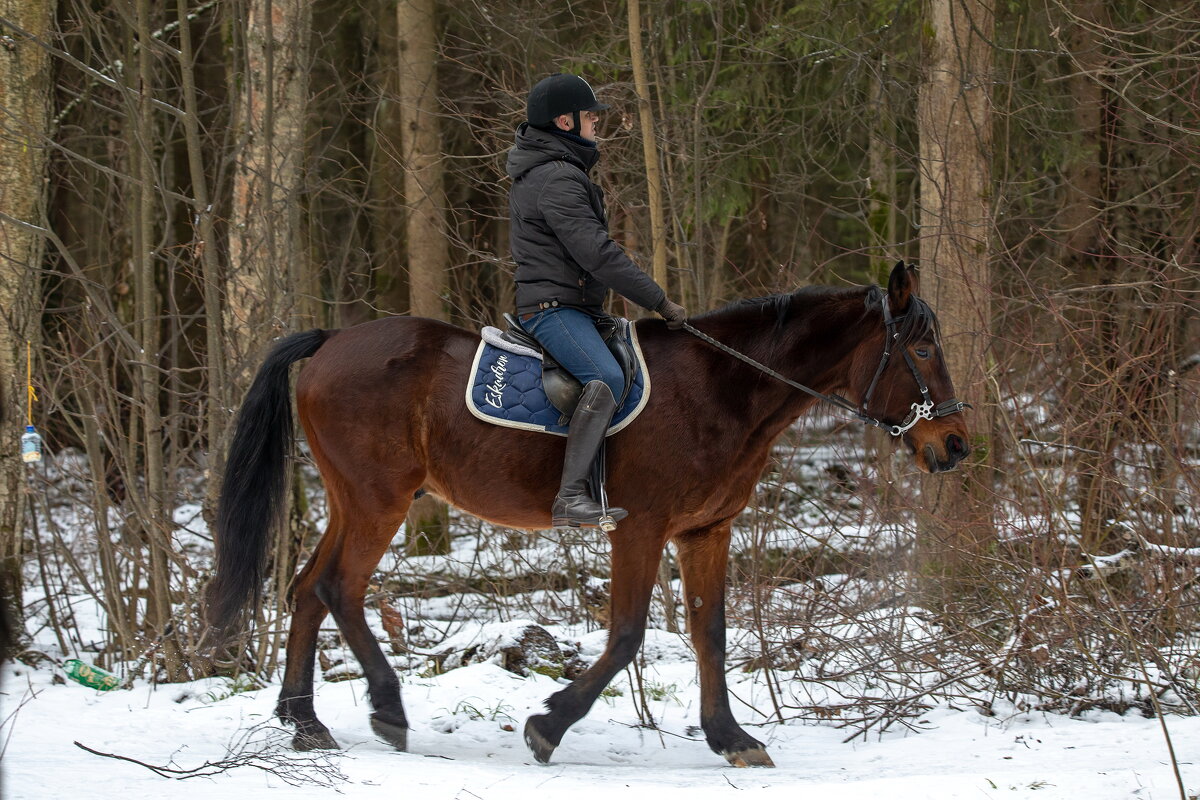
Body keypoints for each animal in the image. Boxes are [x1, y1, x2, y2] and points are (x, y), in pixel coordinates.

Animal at [208, 260, 974, 767]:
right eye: (922, 348)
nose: (957, 446)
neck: (722, 389)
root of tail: (331, 341)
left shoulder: (706, 531)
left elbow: (712, 634)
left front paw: (731, 738)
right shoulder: (639, 526)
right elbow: (629, 634)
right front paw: (550, 723)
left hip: (352, 499)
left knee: (306, 589)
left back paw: (304, 723)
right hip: (378, 500)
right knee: (339, 586)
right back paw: (388, 710)